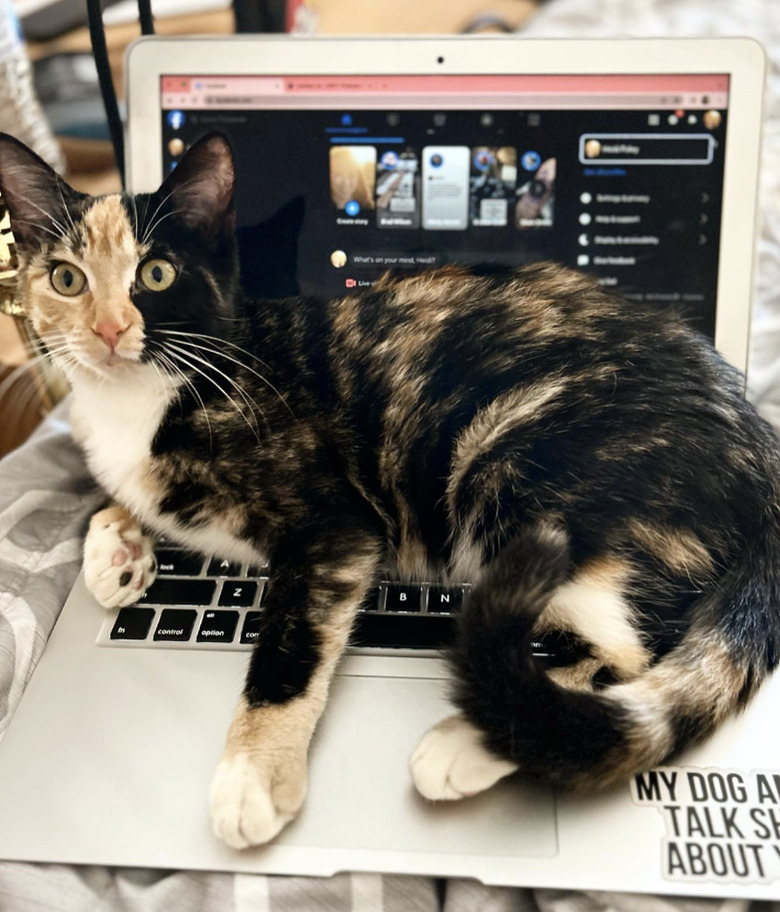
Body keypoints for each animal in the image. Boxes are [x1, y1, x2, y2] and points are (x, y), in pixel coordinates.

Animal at [1, 132, 780, 852]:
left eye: (156, 273)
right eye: (66, 279)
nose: (109, 330)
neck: (144, 399)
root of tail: (758, 444)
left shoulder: (334, 527)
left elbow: (291, 643)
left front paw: (253, 775)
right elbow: (118, 501)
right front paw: (115, 554)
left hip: (509, 454)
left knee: (631, 647)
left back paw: (469, 741)